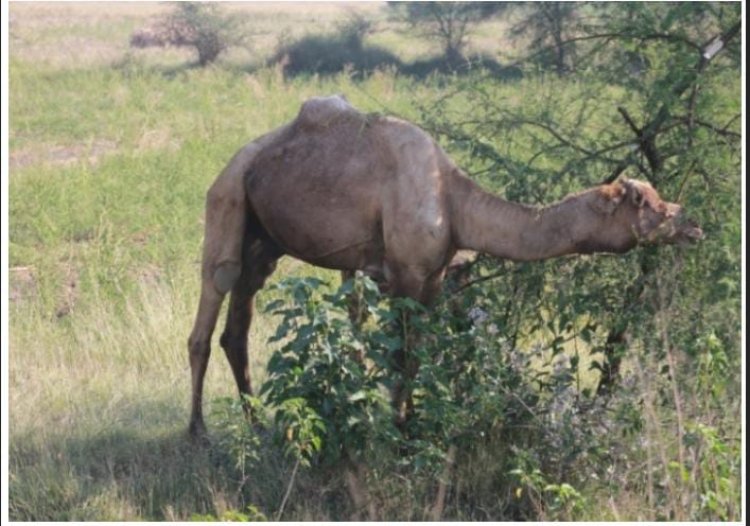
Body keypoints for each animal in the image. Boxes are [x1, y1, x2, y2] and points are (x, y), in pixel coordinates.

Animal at [189, 96, 704, 442]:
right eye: (646, 203)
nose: (691, 222)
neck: (454, 204)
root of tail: (241, 158)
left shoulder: (432, 278)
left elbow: (415, 355)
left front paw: (412, 423)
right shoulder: (403, 273)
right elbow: (400, 355)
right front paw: (399, 431)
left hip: (265, 237)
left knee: (238, 323)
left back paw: (258, 425)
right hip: (227, 196)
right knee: (214, 296)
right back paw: (198, 432)